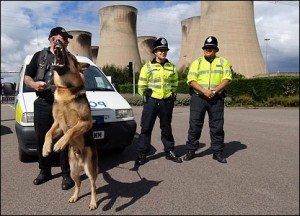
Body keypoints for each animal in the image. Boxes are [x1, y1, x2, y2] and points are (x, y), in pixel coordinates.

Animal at [42, 39, 98, 209]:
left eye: (70, 54)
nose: (57, 40)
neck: (66, 89)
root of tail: (80, 160)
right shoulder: (57, 123)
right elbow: (48, 133)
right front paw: (46, 148)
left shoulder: (86, 122)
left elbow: (71, 131)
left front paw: (59, 144)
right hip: (73, 171)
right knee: (78, 184)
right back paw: (74, 196)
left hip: (90, 169)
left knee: (93, 186)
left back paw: (93, 202)